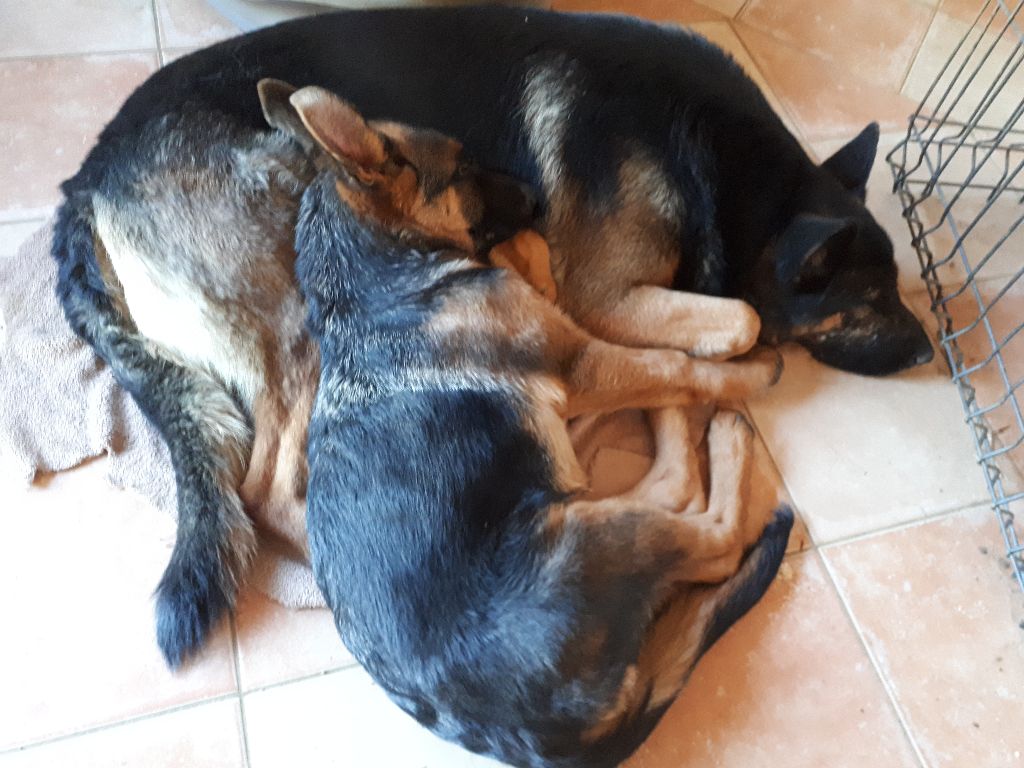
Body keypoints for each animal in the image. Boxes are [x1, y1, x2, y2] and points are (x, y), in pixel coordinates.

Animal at [284, 82, 794, 768]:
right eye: (462, 167)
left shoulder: (571, 372)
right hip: (595, 536)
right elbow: (680, 365)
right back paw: (723, 434)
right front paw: (749, 367)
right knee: (714, 536)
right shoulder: (580, 364)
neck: (371, 278)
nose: (539, 201)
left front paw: (529, 252)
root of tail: (548, 736)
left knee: (665, 485)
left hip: (577, 503)